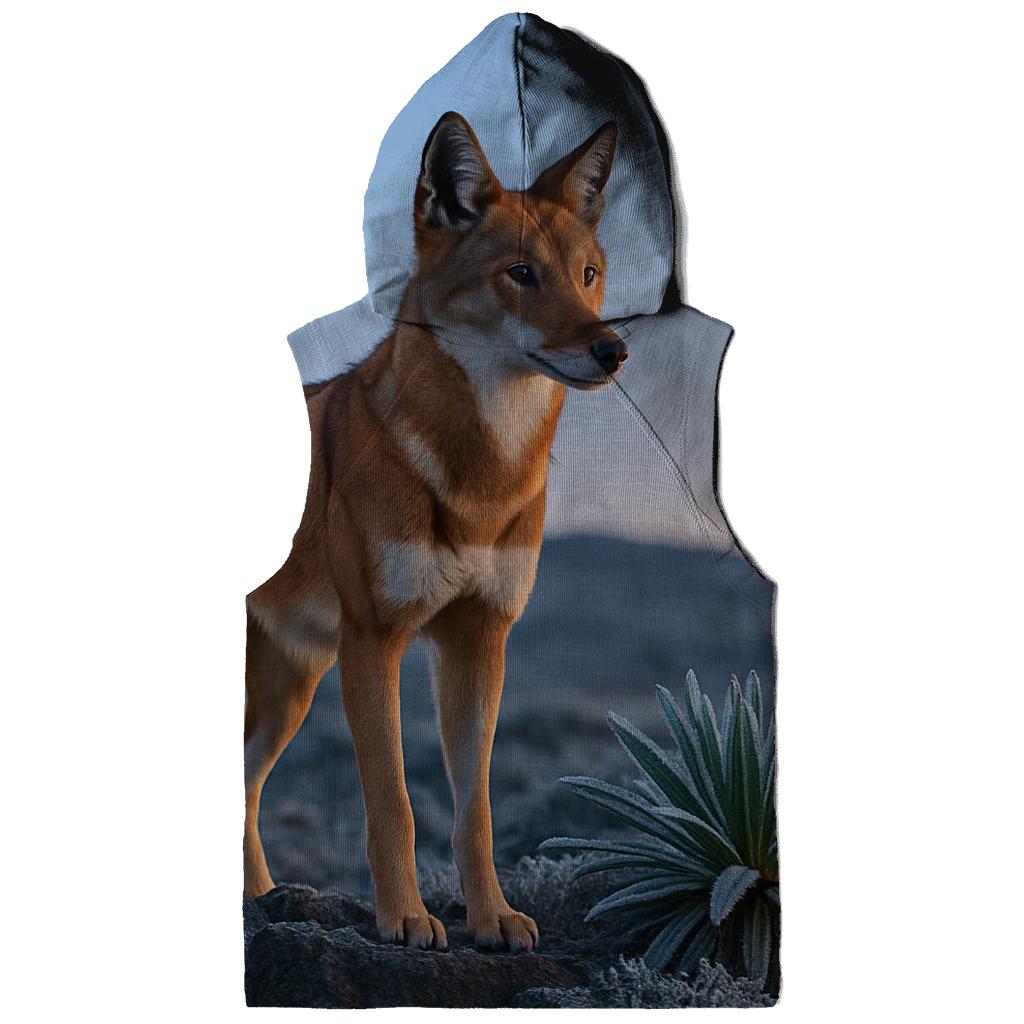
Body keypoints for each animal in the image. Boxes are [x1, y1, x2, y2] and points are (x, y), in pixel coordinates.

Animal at [244, 111, 626, 953]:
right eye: (521, 273)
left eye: (587, 274)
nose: (612, 348)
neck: (481, 477)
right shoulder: (374, 642)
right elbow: (394, 804)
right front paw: (406, 920)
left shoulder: (479, 643)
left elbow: (473, 812)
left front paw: (493, 919)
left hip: (288, 694)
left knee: (240, 792)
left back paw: (260, 897)